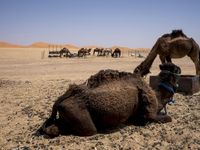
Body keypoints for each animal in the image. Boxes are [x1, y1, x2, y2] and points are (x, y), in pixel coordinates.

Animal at [39, 62, 181, 137]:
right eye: (176, 71)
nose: (179, 70)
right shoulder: (150, 112)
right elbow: (166, 118)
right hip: (77, 114)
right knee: (88, 130)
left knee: (54, 128)